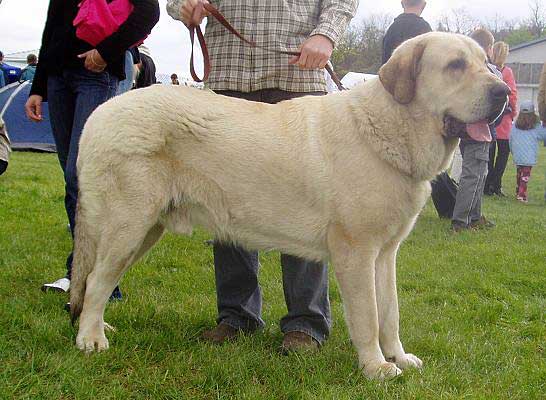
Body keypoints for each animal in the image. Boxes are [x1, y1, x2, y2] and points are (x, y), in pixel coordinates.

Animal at [68, 32, 506, 380]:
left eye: (485, 63)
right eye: (455, 65)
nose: (503, 92)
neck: (389, 128)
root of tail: (100, 114)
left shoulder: (385, 254)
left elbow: (390, 312)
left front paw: (397, 357)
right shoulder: (356, 253)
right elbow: (367, 316)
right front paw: (375, 367)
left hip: (144, 230)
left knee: (97, 281)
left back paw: (97, 328)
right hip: (128, 225)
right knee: (97, 280)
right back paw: (90, 339)